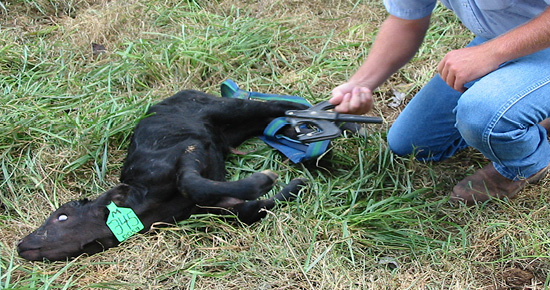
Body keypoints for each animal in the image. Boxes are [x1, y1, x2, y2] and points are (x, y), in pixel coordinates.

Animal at [17, 90, 308, 260]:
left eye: (61, 216)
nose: (20, 245)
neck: (141, 205)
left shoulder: (187, 152)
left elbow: (191, 183)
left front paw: (264, 180)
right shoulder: (214, 205)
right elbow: (252, 210)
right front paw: (295, 186)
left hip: (229, 109)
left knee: (279, 105)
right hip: (234, 128)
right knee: (269, 119)